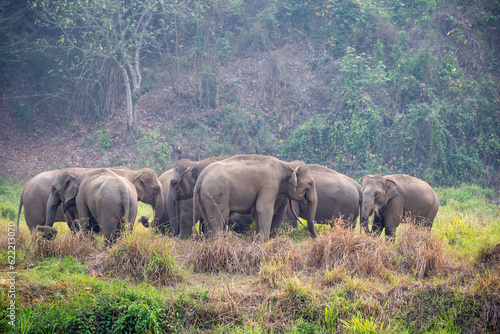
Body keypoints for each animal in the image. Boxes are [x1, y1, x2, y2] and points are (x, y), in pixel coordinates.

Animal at [16, 167, 162, 235]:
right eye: (156, 189)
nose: (144, 218)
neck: (132, 172)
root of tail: (25, 185)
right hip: (32, 205)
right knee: (34, 227)